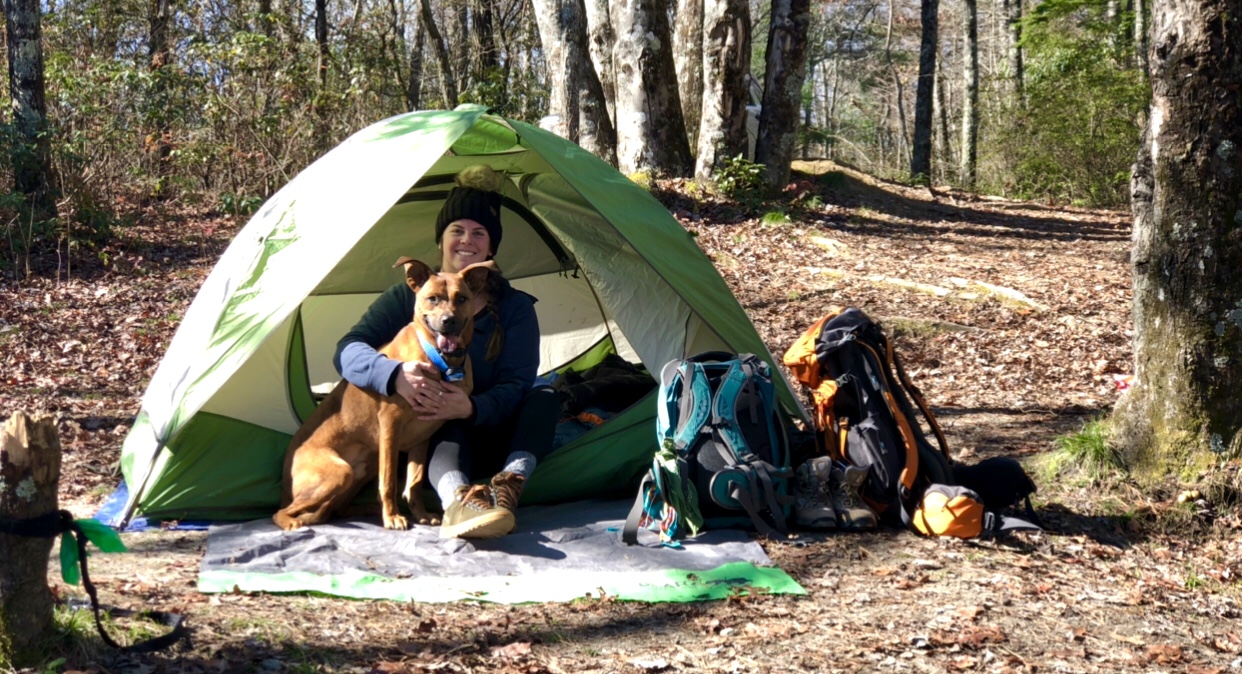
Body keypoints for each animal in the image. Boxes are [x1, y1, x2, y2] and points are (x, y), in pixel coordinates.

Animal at [270, 258, 489, 533]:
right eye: (433, 299)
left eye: (461, 298)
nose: (448, 321)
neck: (442, 360)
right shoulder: (390, 425)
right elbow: (390, 482)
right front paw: (393, 517)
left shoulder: (422, 436)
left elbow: (415, 482)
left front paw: (421, 514)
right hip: (340, 472)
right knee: (282, 512)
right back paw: (292, 522)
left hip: (364, 467)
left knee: (335, 509)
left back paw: (366, 510)